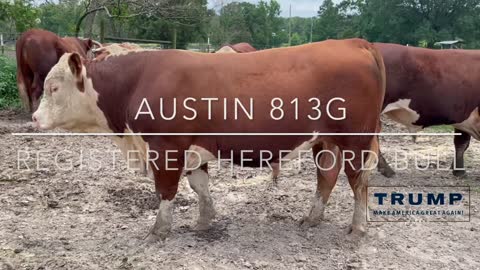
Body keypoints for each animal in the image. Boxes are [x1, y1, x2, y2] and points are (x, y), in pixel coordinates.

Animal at [31, 38, 386, 243]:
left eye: (54, 88)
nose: (34, 118)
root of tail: (354, 42)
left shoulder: (165, 147)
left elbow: (166, 191)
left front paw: (158, 231)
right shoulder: (191, 147)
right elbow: (199, 185)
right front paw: (204, 220)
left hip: (356, 140)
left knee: (358, 182)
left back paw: (358, 229)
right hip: (326, 141)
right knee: (327, 176)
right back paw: (312, 219)